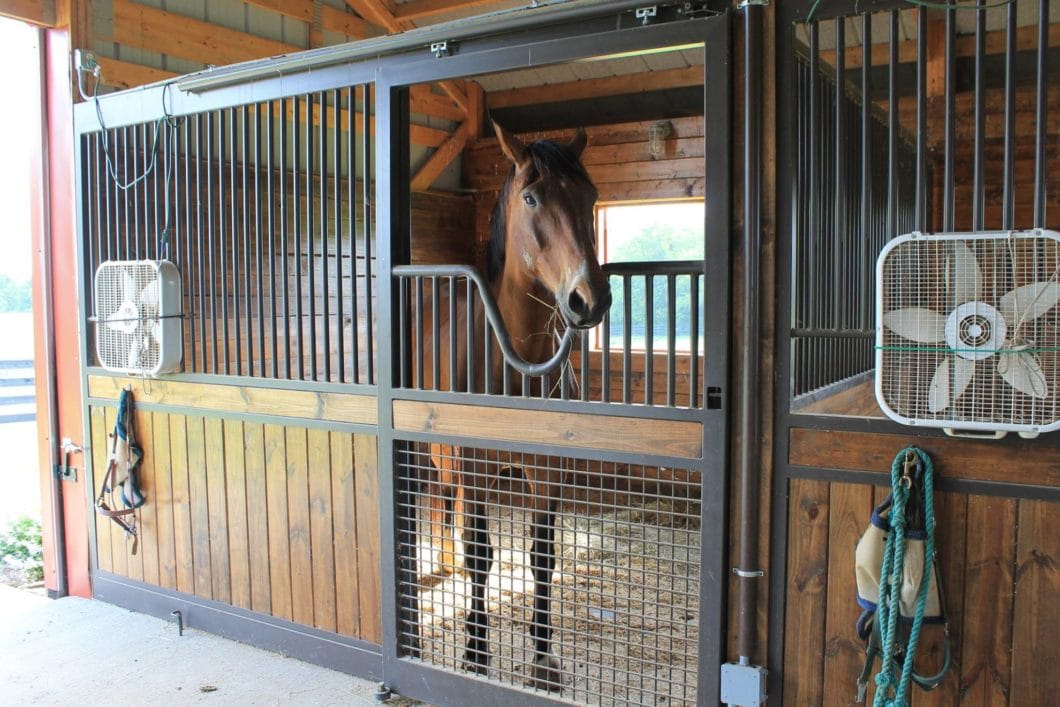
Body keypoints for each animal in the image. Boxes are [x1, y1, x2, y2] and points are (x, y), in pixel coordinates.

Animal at [414, 121, 611, 690]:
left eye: (590, 195)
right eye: (531, 197)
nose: (590, 298)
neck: (516, 364)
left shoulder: (548, 472)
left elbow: (541, 556)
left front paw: (543, 658)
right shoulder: (476, 468)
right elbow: (482, 555)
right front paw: (475, 652)